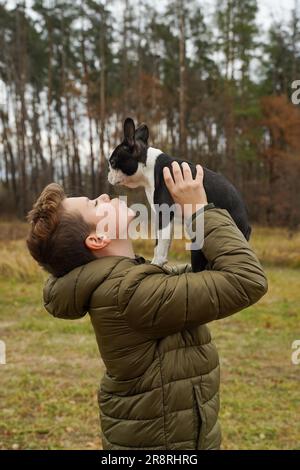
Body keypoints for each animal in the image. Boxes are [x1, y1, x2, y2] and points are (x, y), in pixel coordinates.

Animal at [108, 118, 251, 272]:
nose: (108, 174)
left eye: (113, 162)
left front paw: (155, 264)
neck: (148, 166)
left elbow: (161, 244)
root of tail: (247, 226)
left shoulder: (164, 213)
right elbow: (160, 242)